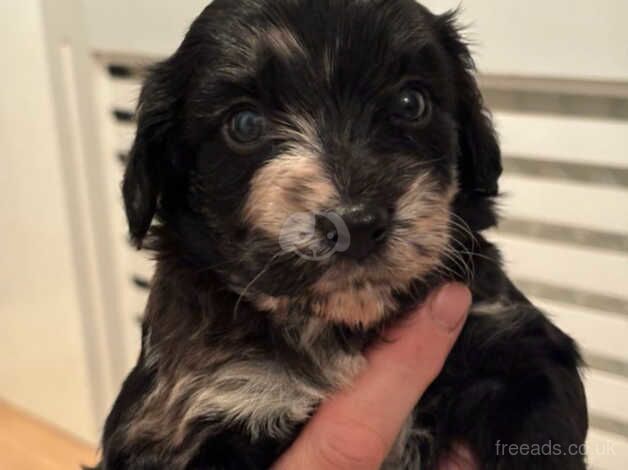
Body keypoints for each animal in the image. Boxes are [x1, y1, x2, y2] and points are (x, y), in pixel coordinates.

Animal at [98, 1, 588, 468]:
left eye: (411, 102)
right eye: (245, 124)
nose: (356, 223)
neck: (341, 326)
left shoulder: (513, 340)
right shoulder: (200, 408)